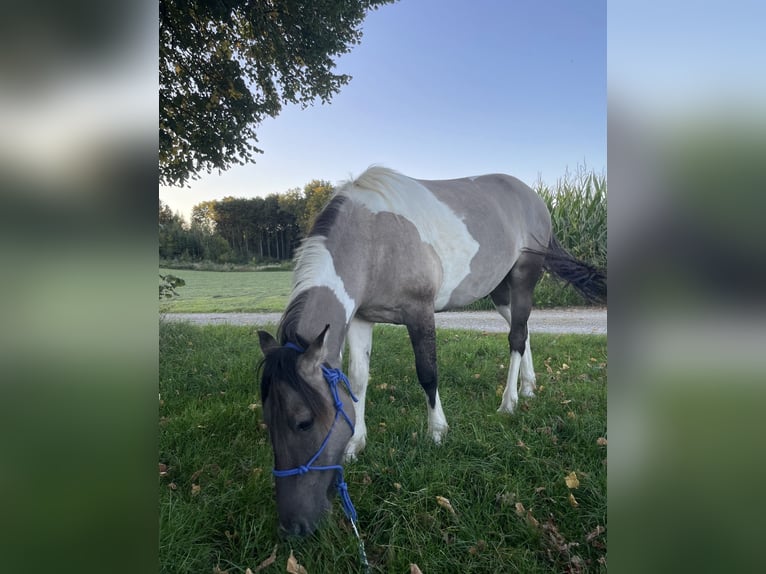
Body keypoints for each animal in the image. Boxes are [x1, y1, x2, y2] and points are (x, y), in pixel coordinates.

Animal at [257, 166, 606, 536]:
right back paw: (528, 387)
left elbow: (427, 373)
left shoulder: (420, 313)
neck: (372, 240)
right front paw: (356, 444)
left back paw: (509, 401)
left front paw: (437, 431)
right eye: (267, 420)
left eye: (303, 423)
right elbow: (358, 379)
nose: (293, 526)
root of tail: (533, 197)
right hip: (499, 290)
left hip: (524, 277)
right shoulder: (363, 319)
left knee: (515, 337)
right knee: (523, 331)